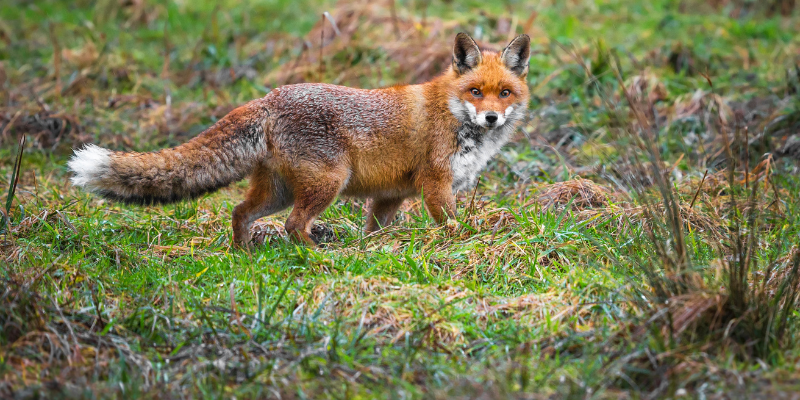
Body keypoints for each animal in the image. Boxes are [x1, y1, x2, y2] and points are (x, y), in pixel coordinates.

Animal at [68, 32, 531, 247]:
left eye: (505, 93)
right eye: (476, 91)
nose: (491, 116)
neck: (454, 114)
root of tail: (268, 97)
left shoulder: (390, 196)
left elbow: (374, 231)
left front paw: (372, 251)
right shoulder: (435, 184)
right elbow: (452, 225)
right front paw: (466, 243)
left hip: (280, 190)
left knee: (240, 212)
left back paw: (244, 254)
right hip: (327, 183)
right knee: (293, 226)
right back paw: (317, 255)